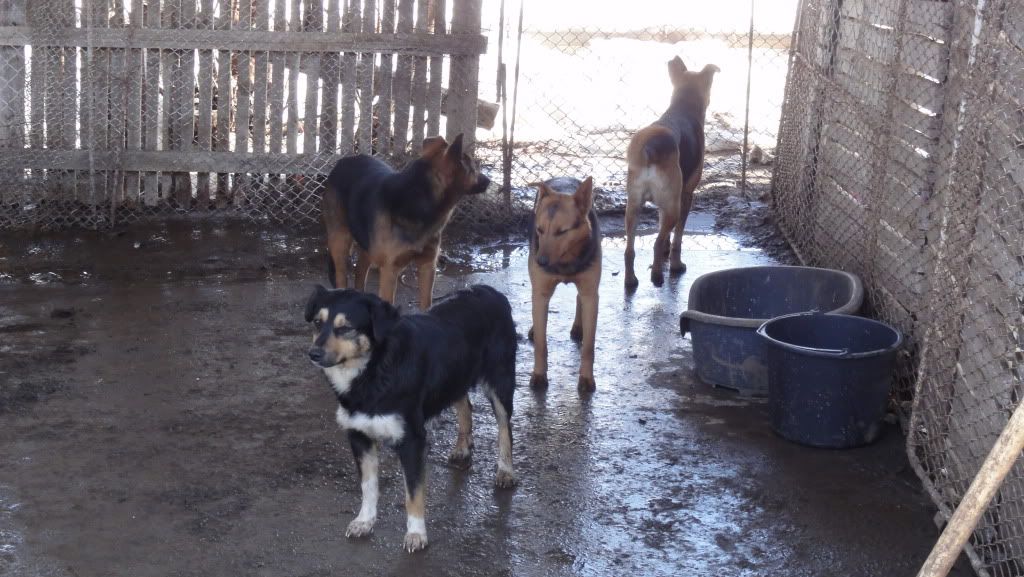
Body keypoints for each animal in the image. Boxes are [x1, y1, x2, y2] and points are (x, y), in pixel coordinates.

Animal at [299, 284, 516, 553]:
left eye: (346, 327)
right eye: (317, 323)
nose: (313, 354)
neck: (373, 371)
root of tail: (489, 290)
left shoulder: (412, 440)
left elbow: (413, 493)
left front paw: (416, 533)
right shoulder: (359, 435)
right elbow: (368, 485)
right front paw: (365, 520)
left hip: (500, 380)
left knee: (505, 428)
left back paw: (505, 471)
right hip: (454, 376)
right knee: (465, 405)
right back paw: (462, 448)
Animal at [323, 134, 491, 309]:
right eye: (473, 168)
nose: (489, 181)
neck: (419, 199)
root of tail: (343, 161)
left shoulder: (427, 266)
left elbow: (426, 304)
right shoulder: (390, 271)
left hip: (367, 244)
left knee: (360, 271)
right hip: (340, 242)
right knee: (341, 276)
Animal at [528, 176, 598, 393]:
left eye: (562, 232)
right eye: (540, 230)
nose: (540, 262)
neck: (565, 262)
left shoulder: (591, 293)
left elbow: (588, 347)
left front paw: (586, 378)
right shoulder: (541, 292)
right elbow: (541, 344)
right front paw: (539, 375)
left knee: (578, 297)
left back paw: (578, 326)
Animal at [622, 58, 720, 289]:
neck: (683, 106)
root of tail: (649, 148)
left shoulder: (664, 204)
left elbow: (663, 230)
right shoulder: (685, 196)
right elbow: (677, 237)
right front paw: (675, 263)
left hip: (633, 206)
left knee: (629, 249)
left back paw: (631, 280)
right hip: (673, 206)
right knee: (656, 243)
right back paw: (657, 276)